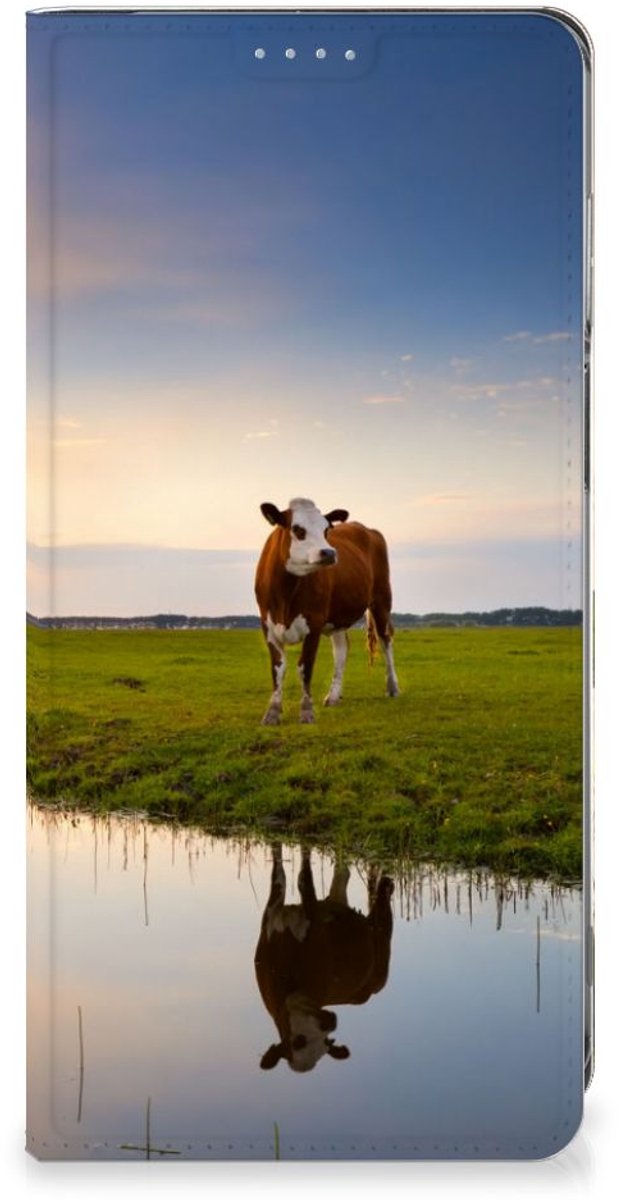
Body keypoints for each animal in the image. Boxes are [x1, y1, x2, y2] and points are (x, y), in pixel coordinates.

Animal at [254, 497, 399, 725]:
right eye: (297, 529)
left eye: (326, 530)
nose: (329, 553)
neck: (285, 594)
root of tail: (367, 529)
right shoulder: (267, 625)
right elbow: (278, 668)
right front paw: (272, 712)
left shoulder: (314, 623)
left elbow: (305, 667)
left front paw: (306, 711)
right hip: (338, 616)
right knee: (341, 649)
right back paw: (333, 696)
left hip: (382, 599)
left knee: (386, 641)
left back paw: (392, 687)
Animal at [254, 845, 394, 1073]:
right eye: (298, 1041)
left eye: (326, 1043)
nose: (331, 1022)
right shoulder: (271, 915)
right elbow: (279, 872)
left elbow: (304, 879)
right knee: (342, 873)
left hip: (381, 956)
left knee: (382, 915)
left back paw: (386, 885)